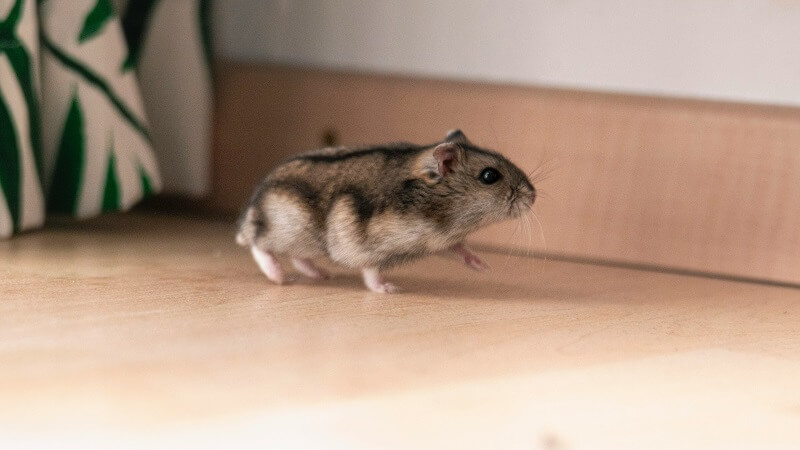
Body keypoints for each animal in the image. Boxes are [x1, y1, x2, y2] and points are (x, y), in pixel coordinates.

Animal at [236, 129, 536, 293]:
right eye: (489, 176)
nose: (532, 196)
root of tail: (252, 208)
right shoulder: (367, 245)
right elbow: (371, 272)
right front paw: (390, 289)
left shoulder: (441, 242)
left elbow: (459, 250)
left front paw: (484, 267)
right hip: (285, 230)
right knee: (258, 245)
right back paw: (279, 276)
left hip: (304, 241)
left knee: (299, 258)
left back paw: (322, 275)